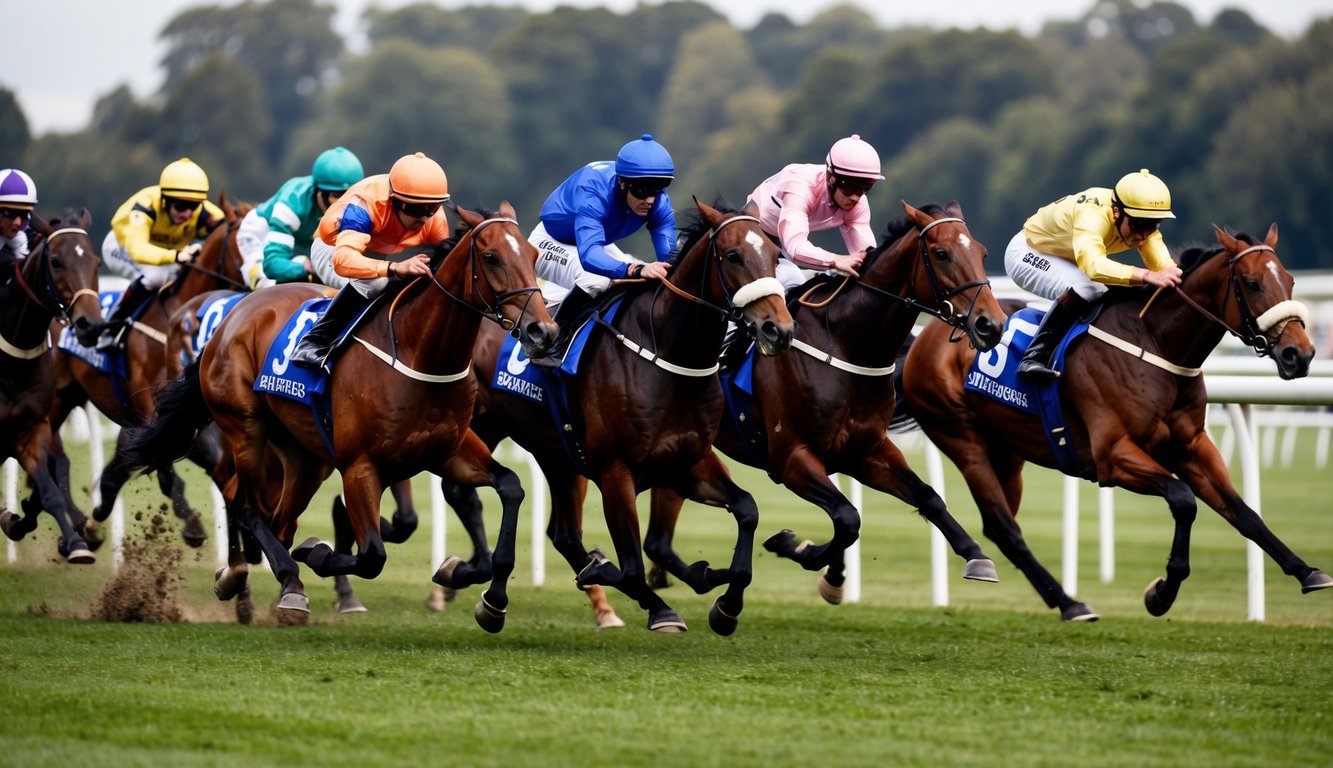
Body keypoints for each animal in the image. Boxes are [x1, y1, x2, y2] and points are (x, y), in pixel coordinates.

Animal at [0, 208, 103, 557]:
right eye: (56, 261)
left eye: (97, 263)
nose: (90, 325)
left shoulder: (29, 428)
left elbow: (49, 491)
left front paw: (76, 543)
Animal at [117, 201, 549, 626]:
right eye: (491, 257)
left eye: (533, 255)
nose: (542, 330)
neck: (418, 352)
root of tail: (232, 316)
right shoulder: (359, 466)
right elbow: (371, 554)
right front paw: (319, 552)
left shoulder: (447, 451)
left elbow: (510, 487)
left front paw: (481, 592)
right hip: (245, 429)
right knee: (246, 506)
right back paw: (272, 581)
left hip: (304, 457)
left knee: (276, 521)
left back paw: (253, 578)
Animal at [437, 200, 789, 634]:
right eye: (734, 255)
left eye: (775, 255)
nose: (778, 329)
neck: (669, 354)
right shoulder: (616, 473)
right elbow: (632, 568)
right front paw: (633, 585)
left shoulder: (687, 462)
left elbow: (747, 510)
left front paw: (725, 603)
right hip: (478, 426)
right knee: (466, 493)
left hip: (552, 450)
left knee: (561, 533)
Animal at [650, 202, 1002, 605]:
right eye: (942, 253)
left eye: (983, 253)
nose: (992, 324)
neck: (847, 344)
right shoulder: (792, 458)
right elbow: (847, 518)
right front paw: (800, 551)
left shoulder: (864, 451)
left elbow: (927, 497)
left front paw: (976, 555)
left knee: (657, 542)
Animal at [901, 225, 1327, 621]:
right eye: (1253, 284)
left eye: (1289, 281)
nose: (1300, 354)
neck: (1155, 343)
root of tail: (929, 335)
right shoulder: (1112, 456)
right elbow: (1183, 499)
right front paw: (1161, 592)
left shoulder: (1190, 446)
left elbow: (1244, 513)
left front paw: (1307, 571)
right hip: (962, 438)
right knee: (1005, 527)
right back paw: (1069, 602)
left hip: (1007, 450)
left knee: (1000, 523)